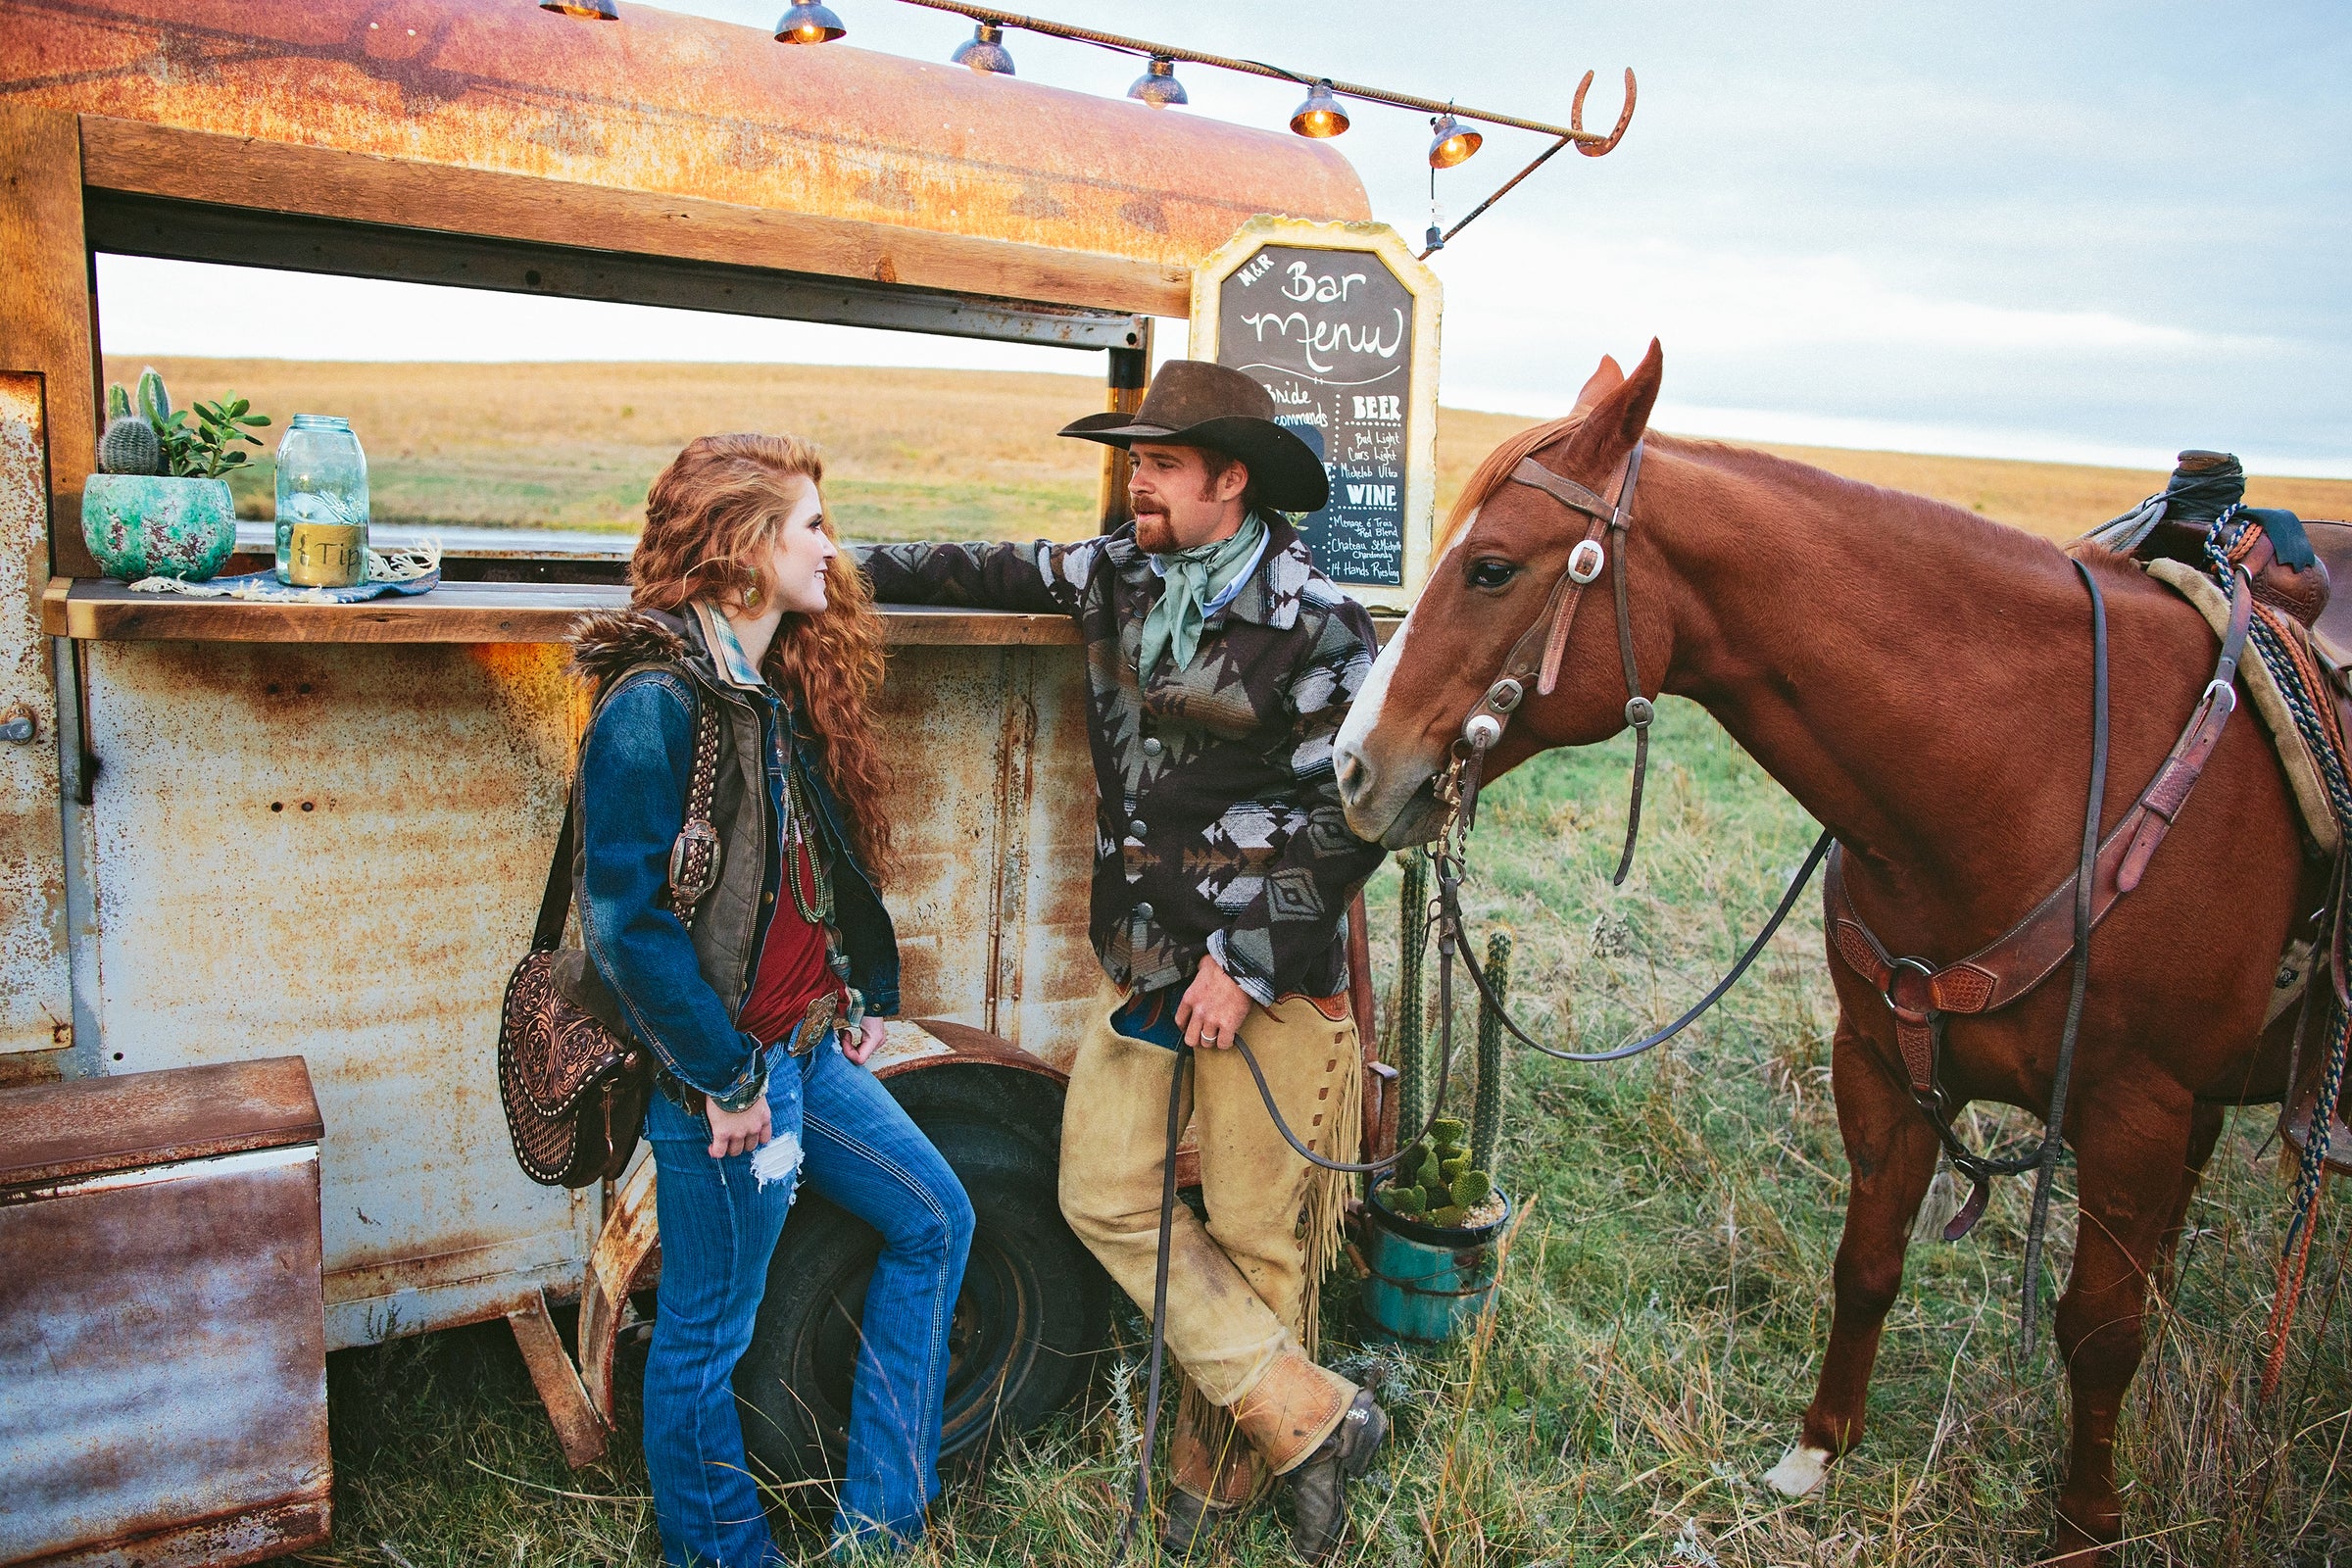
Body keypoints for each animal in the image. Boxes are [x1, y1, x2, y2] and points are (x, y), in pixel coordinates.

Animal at [1331, 342, 2312, 1563]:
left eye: (1493, 568)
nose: (1351, 764)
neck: (2034, 769)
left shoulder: (2134, 1108)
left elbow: (2096, 1332)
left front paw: (2085, 1524)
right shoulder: (1882, 1064)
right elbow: (1868, 1258)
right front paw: (1816, 1449)